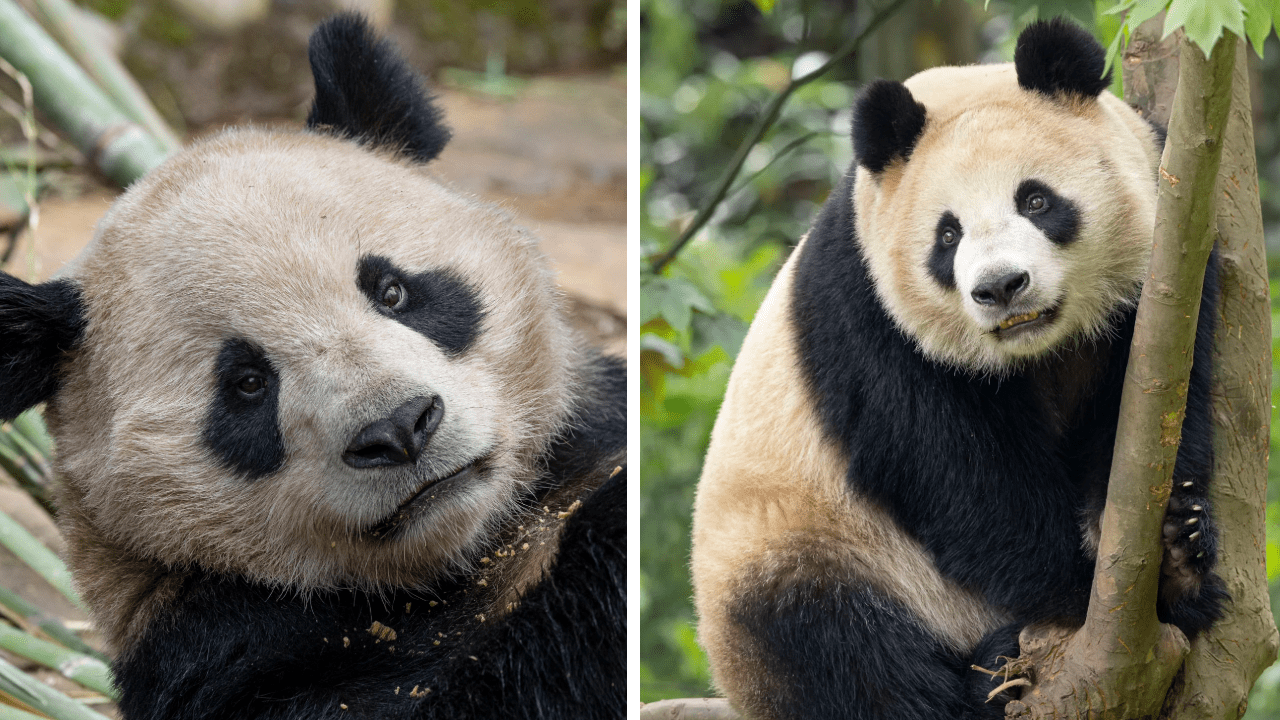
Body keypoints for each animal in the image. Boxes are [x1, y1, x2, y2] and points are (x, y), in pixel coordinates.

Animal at [696, 18, 1223, 717]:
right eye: (947, 236)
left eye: (1036, 200)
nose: (1000, 287)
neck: (1038, 350)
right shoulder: (869, 314)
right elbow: (960, 475)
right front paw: (1083, 587)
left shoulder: (1171, 262)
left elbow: (1153, 413)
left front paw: (1173, 553)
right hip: (803, 546)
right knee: (835, 651)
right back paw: (989, 680)